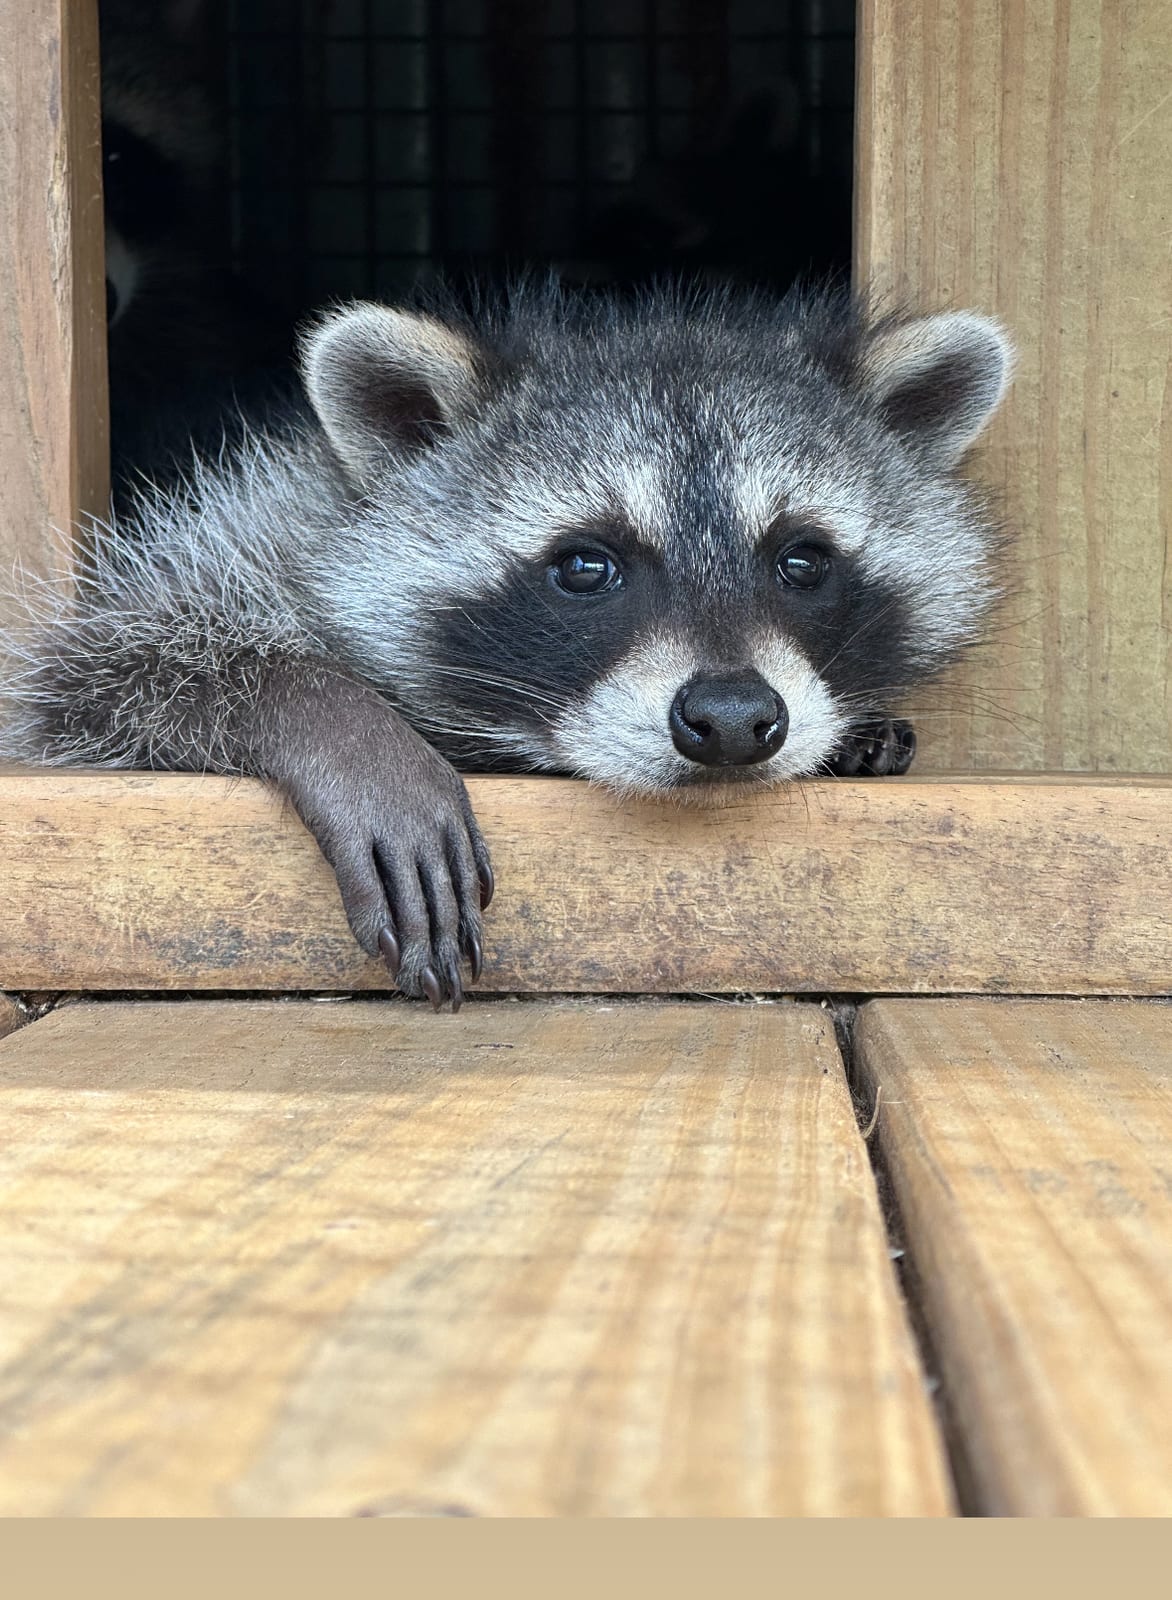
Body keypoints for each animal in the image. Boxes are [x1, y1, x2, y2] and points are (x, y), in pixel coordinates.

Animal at [0, 284, 1012, 1008]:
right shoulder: (255, 531)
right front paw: (334, 721)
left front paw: (858, 732)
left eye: (802, 559)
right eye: (586, 566)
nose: (731, 719)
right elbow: (106, 672)